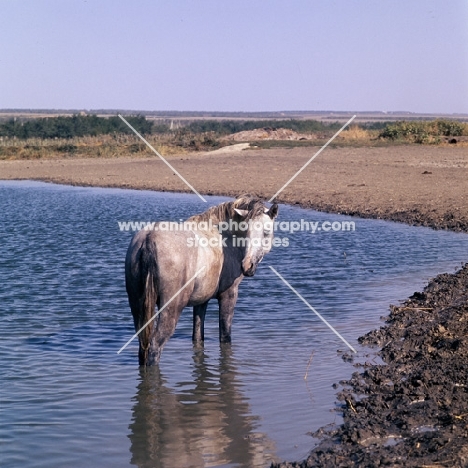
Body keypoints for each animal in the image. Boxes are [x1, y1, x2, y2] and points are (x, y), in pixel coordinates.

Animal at [124, 194, 278, 366]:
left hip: (138, 308)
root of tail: (149, 238)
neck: (224, 238)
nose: (247, 266)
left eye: (266, 232)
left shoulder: (201, 300)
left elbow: (198, 335)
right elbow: (225, 335)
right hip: (171, 308)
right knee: (155, 346)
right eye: (247, 231)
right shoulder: (229, 295)